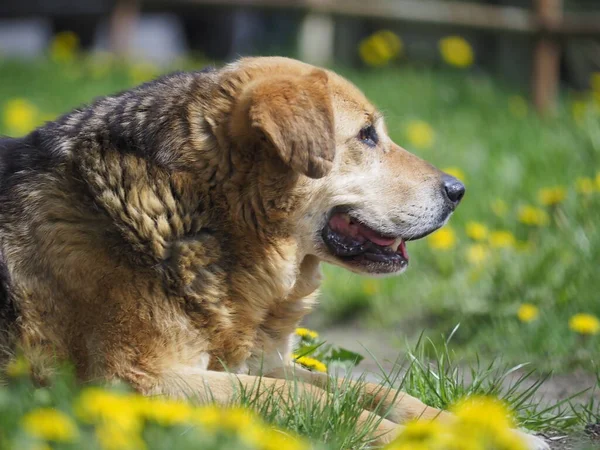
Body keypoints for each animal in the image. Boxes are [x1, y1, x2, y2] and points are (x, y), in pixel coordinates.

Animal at [0, 58, 548, 448]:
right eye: (366, 135)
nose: (458, 191)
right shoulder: (133, 382)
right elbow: (308, 397)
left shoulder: (257, 363)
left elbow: (369, 389)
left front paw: (488, 430)